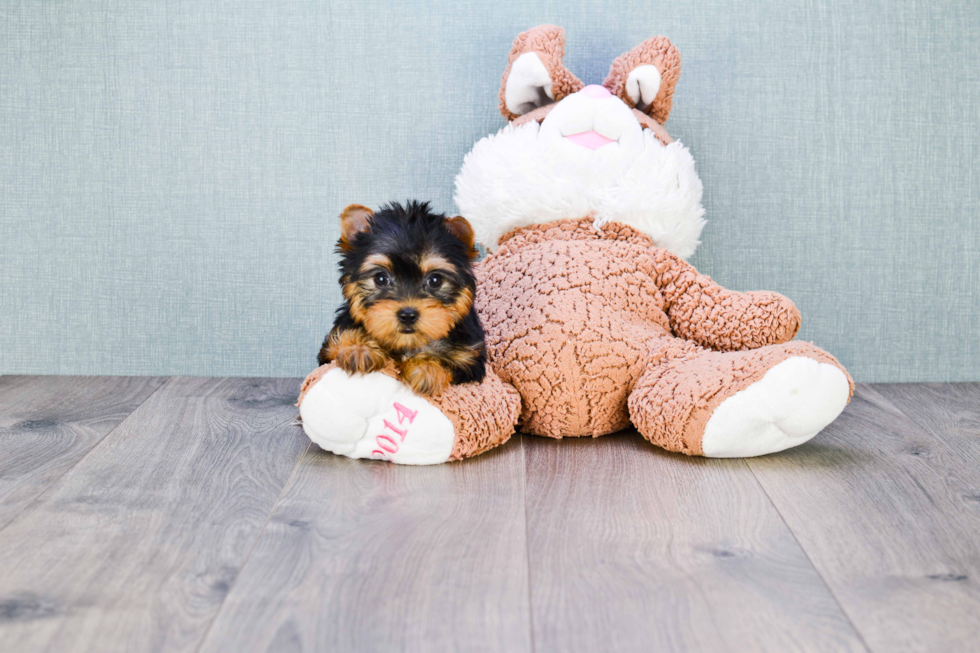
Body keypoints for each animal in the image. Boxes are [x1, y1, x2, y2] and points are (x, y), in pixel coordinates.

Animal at [320, 199, 488, 394]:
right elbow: (336, 346)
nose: (408, 315)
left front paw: (426, 368)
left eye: (435, 280)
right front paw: (358, 349)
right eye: (381, 278)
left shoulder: (470, 359)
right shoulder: (330, 346)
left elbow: (449, 363)